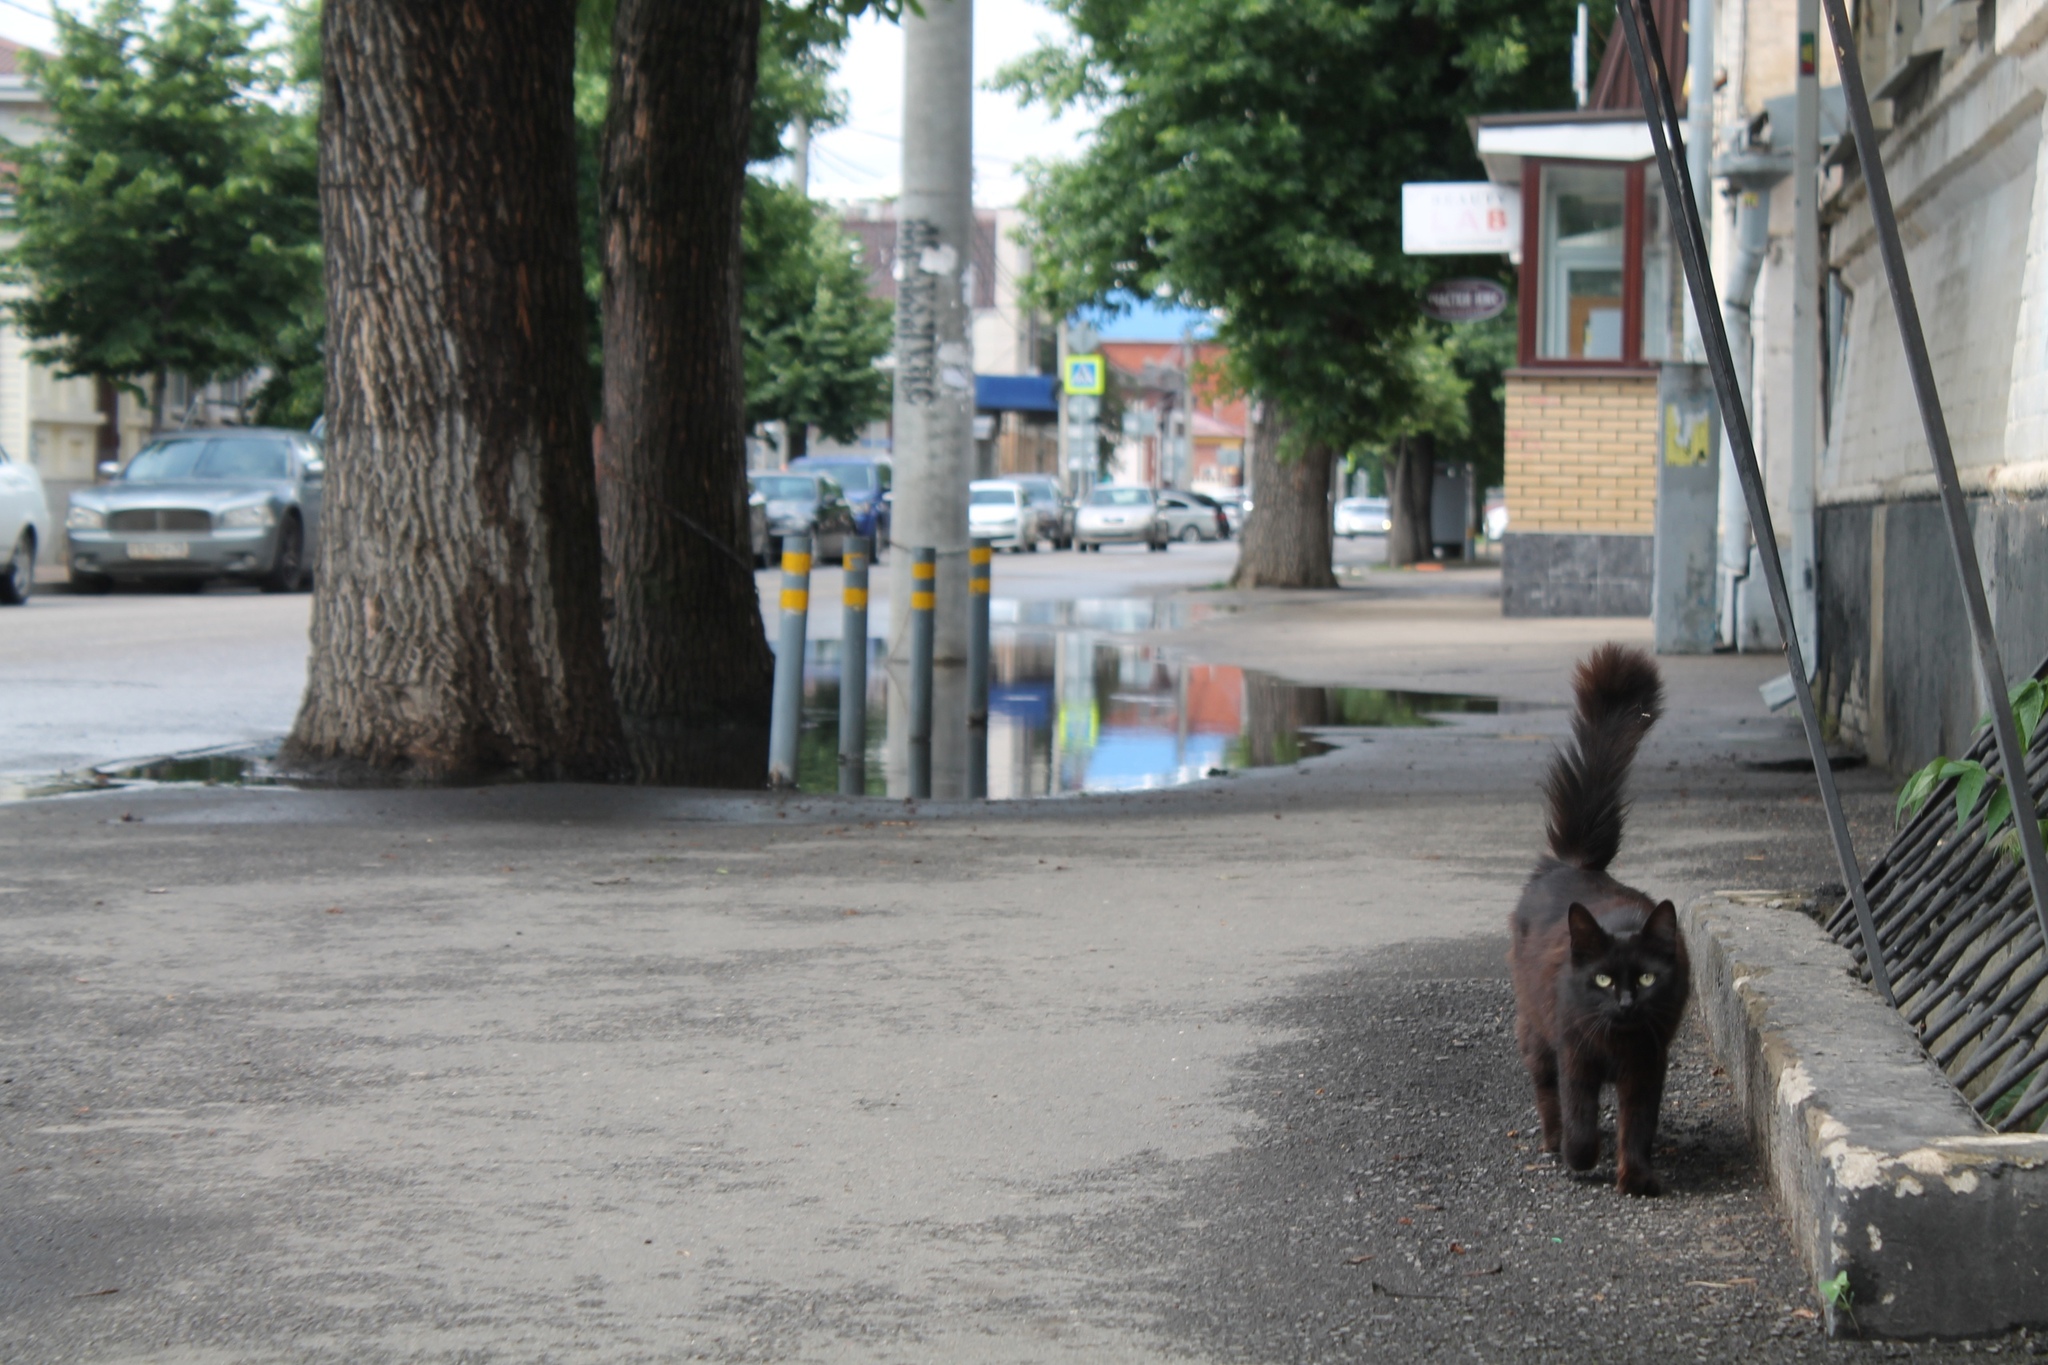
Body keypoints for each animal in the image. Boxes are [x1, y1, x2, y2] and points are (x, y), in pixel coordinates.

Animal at [1515, 642, 1687, 1195]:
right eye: (1604, 979)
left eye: (1648, 978)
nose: (1627, 1002)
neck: (1619, 1040)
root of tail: (1571, 864)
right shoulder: (1576, 1055)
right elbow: (1581, 1115)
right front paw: (1581, 1156)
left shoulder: (1647, 1064)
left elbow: (1638, 1123)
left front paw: (1636, 1177)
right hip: (1536, 1032)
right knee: (1546, 1092)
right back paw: (1553, 1144)